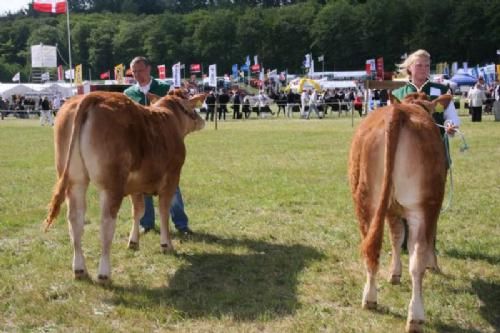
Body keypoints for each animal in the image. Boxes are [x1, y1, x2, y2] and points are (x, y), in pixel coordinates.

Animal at [350, 92, 452, 330]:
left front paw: (394, 273)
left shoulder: (391, 208)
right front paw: (432, 265)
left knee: (372, 248)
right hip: (423, 206)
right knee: (417, 258)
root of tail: (398, 112)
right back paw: (415, 315)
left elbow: (396, 237)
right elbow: (407, 238)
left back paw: (371, 299)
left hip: (367, 201)